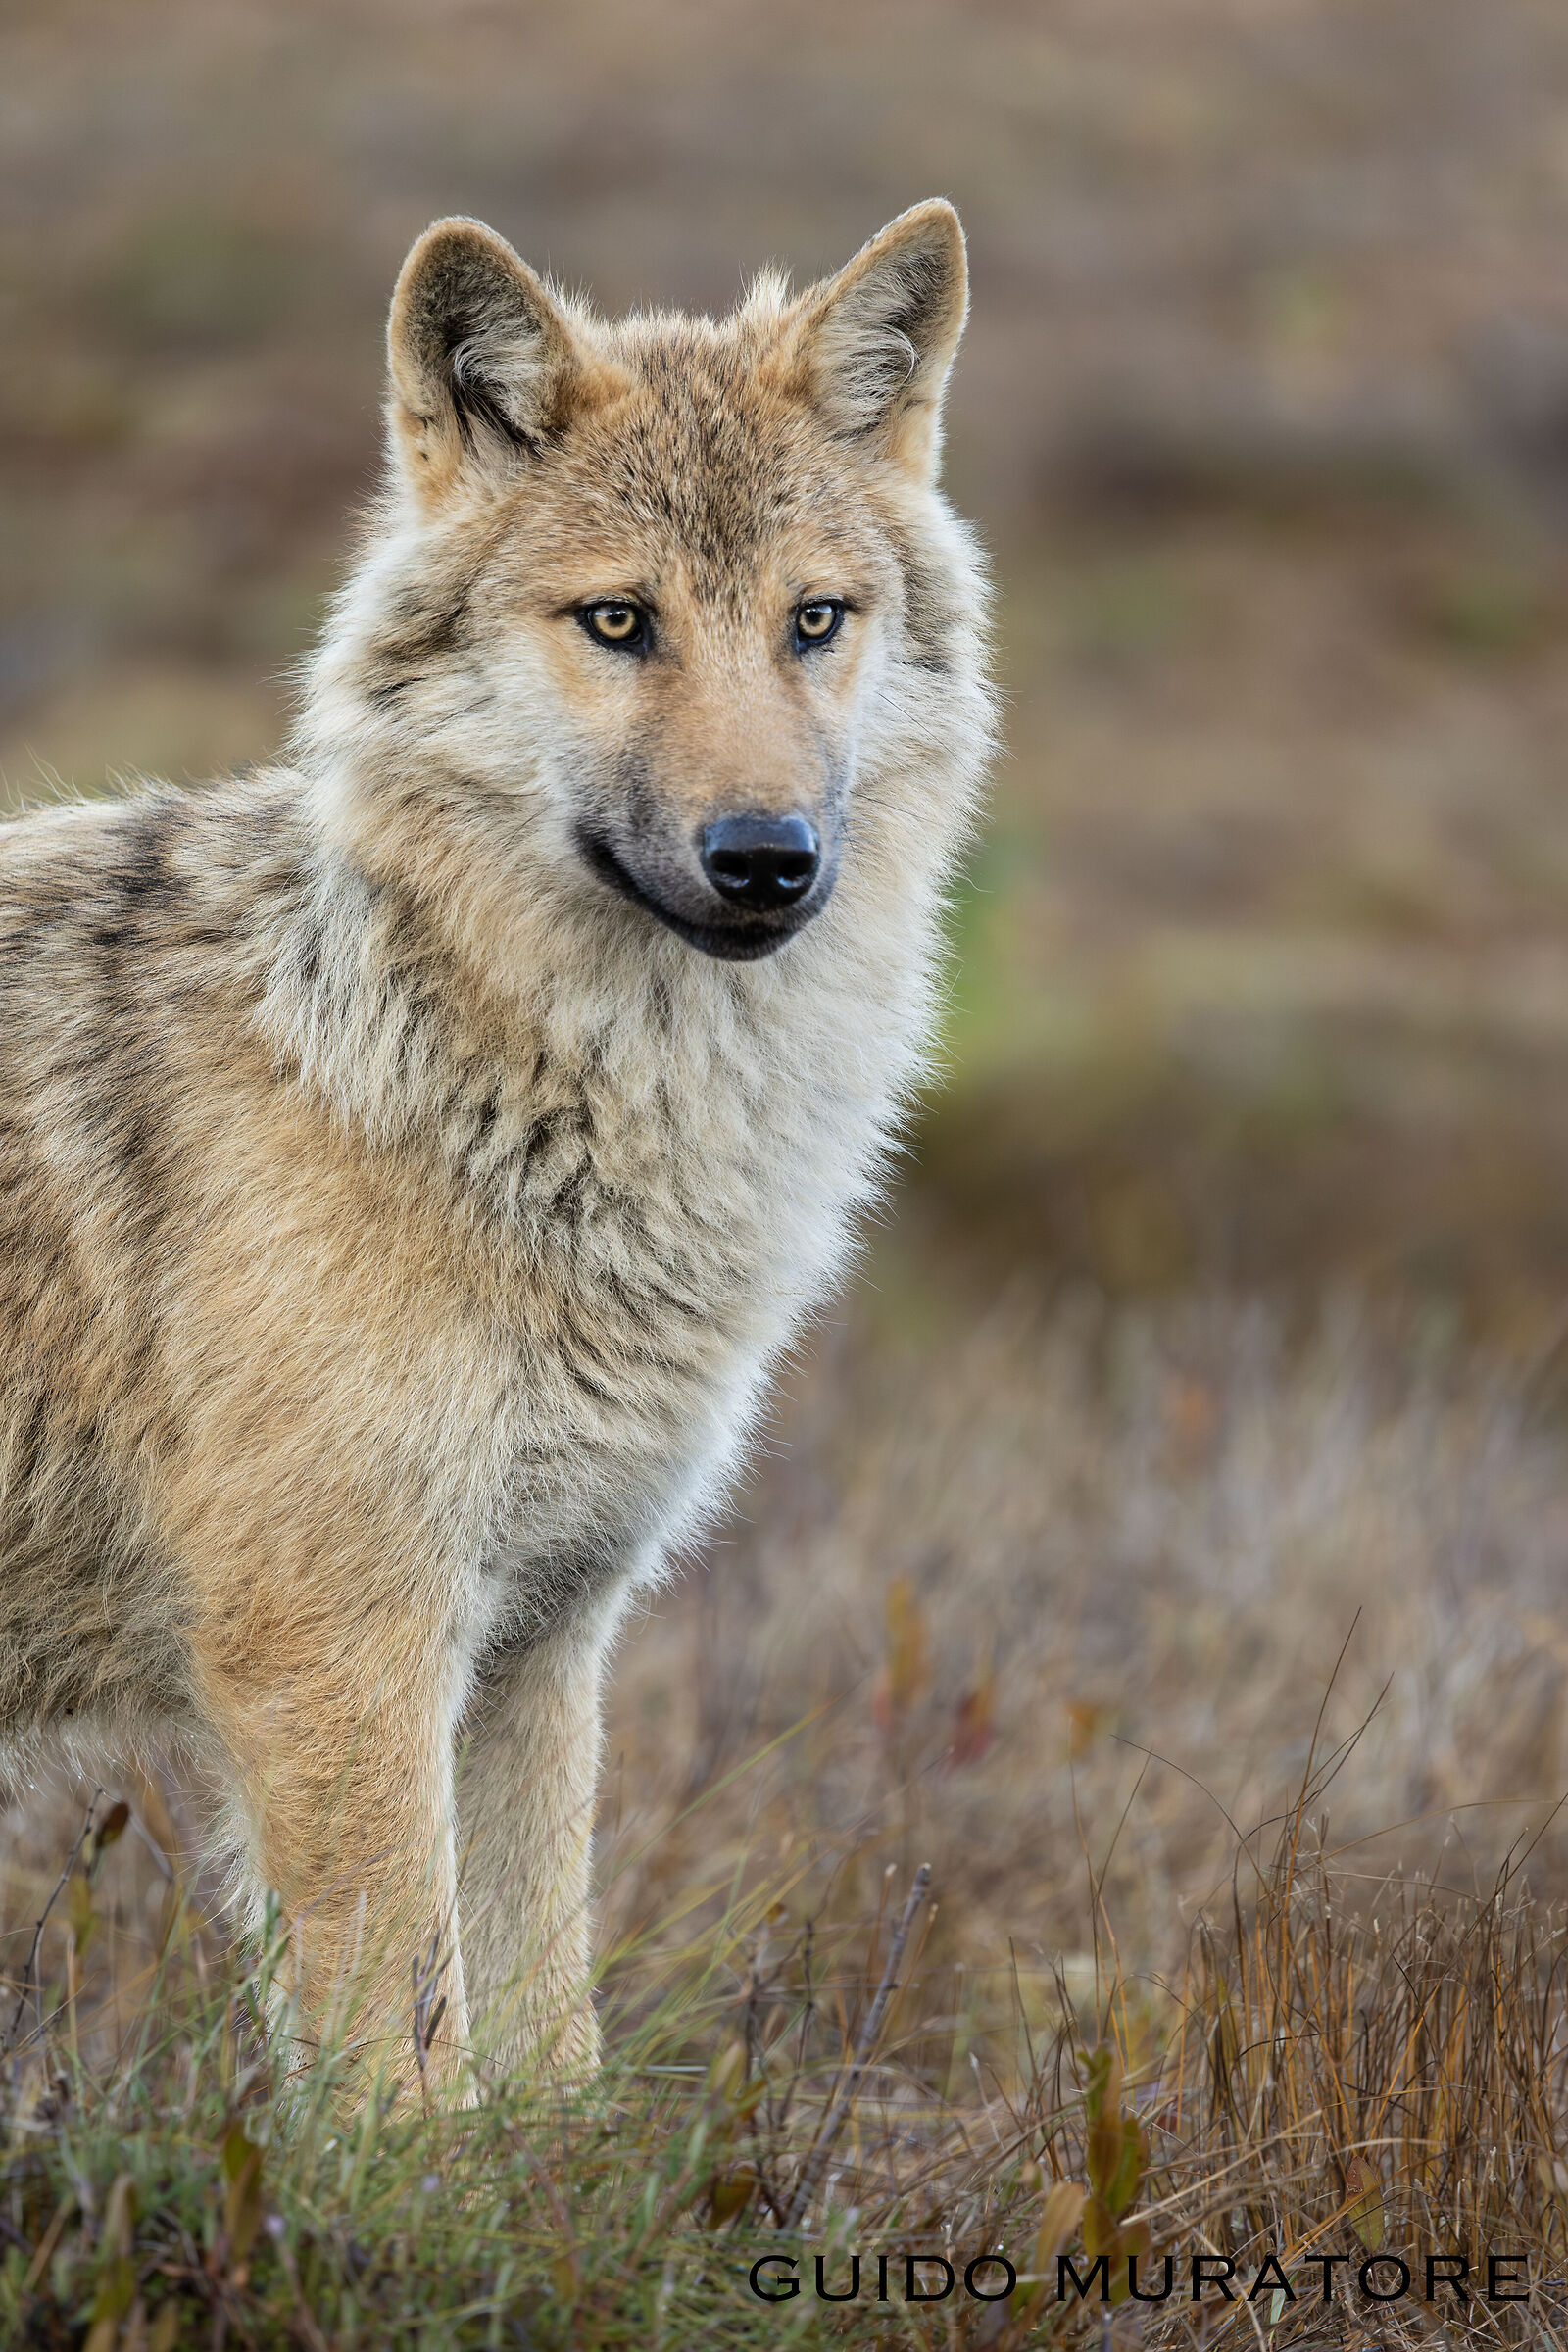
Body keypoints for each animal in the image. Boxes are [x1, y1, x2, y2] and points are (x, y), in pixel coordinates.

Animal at [0, 201, 991, 2083]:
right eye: (619, 622)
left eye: (813, 621)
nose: (768, 859)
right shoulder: (336, 1653)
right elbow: (408, 2083)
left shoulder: (544, 1641)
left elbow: (549, 2059)